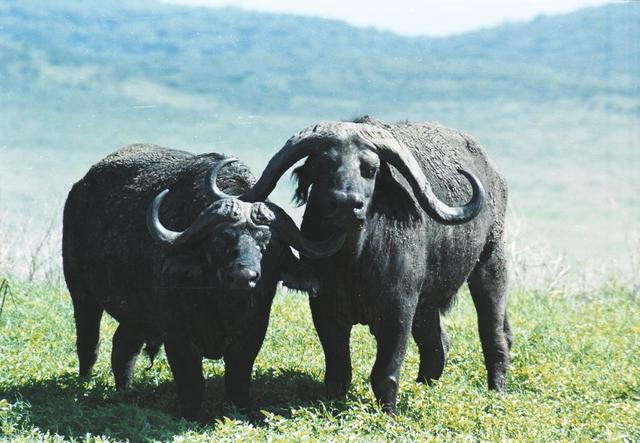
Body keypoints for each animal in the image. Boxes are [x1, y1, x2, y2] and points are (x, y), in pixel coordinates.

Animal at [62, 144, 343, 419]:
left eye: (270, 244)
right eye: (220, 240)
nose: (243, 277)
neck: (220, 305)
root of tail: (80, 189)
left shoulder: (253, 331)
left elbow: (238, 379)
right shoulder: (178, 335)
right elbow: (192, 382)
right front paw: (191, 414)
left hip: (137, 313)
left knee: (123, 345)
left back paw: (126, 391)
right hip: (81, 292)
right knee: (89, 343)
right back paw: (85, 382)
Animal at [240, 116, 511, 413]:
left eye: (370, 169)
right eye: (324, 165)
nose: (347, 204)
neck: (354, 261)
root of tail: (497, 177)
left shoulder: (399, 309)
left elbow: (384, 373)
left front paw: (389, 412)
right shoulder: (324, 307)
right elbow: (338, 369)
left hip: (491, 262)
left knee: (493, 334)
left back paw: (497, 391)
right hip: (427, 305)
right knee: (437, 345)